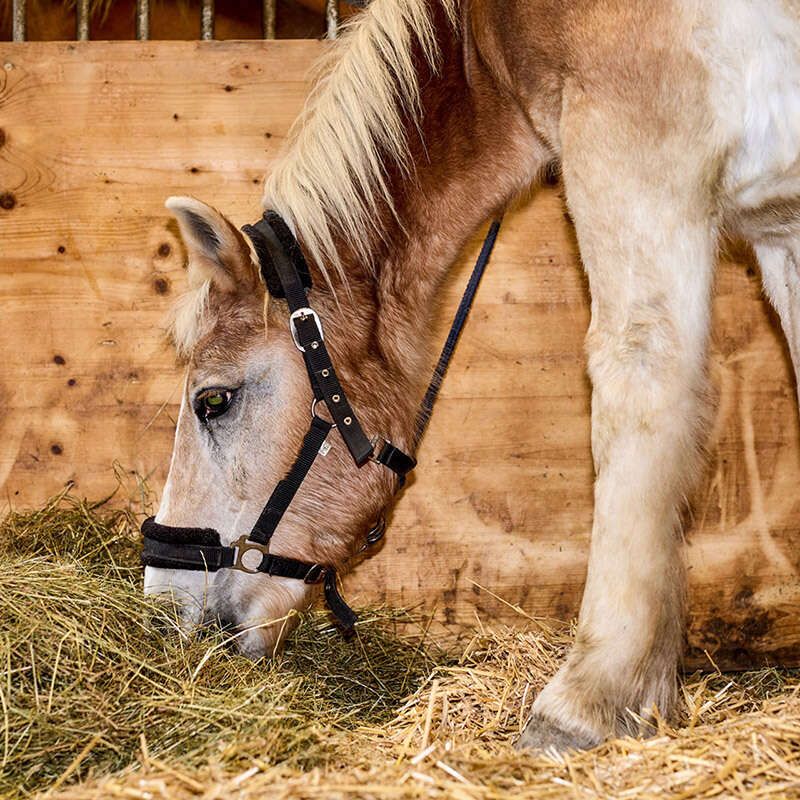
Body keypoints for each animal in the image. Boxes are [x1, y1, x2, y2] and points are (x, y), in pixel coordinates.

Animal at [145, 0, 800, 752]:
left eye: (213, 401)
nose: (162, 605)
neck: (486, 37)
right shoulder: (782, 231)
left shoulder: (636, 153)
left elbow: (638, 386)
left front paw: (587, 701)